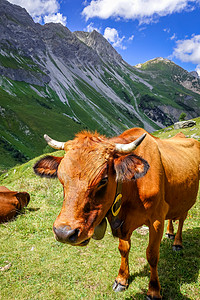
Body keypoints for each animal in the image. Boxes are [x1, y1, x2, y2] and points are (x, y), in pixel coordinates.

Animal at [33, 127, 199, 298]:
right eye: (61, 178)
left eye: (103, 180)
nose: (64, 233)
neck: (132, 187)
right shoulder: (122, 222)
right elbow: (123, 249)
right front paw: (122, 279)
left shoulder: (156, 219)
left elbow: (152, 255)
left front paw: (153, 290)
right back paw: (170, 233)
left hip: (188, 199)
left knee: (182, 218)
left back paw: (177, 242)